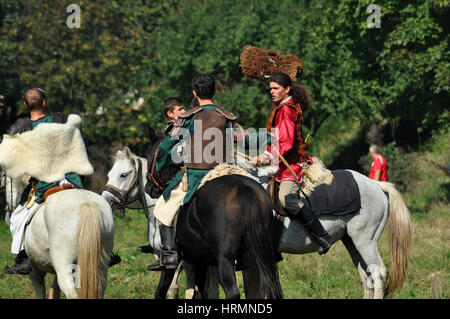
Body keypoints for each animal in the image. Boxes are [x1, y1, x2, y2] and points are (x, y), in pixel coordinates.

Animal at [3, 172, 114, 300]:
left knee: (71, 292)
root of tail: (87, 204)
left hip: (63, 264)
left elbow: (41, 292)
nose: (6, 215)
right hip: (100, 266)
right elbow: (54, 291)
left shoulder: (35, 271)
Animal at [102, 148, 221, 300]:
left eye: (123, 175)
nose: (105, 199)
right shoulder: (160, 257)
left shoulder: (174, 262)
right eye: (109, 174)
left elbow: (164, 292)